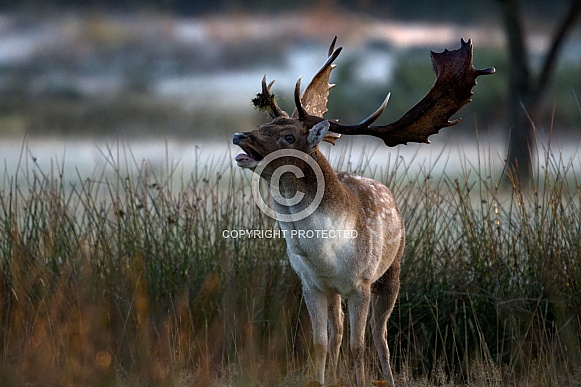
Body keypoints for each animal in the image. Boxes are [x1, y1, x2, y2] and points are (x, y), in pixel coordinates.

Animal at [231, 37, 494, 387]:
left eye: (289, 136)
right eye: (267, 123)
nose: (240, 135)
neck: (326, 250)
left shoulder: (362, 283)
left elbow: (359, 344)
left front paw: (360, 379)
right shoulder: (311, 284)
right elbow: (321, 342)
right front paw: (322, 380)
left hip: (392, 271)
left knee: (379, 335)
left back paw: (388, 377)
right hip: (336, 292)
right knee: (338, 333)